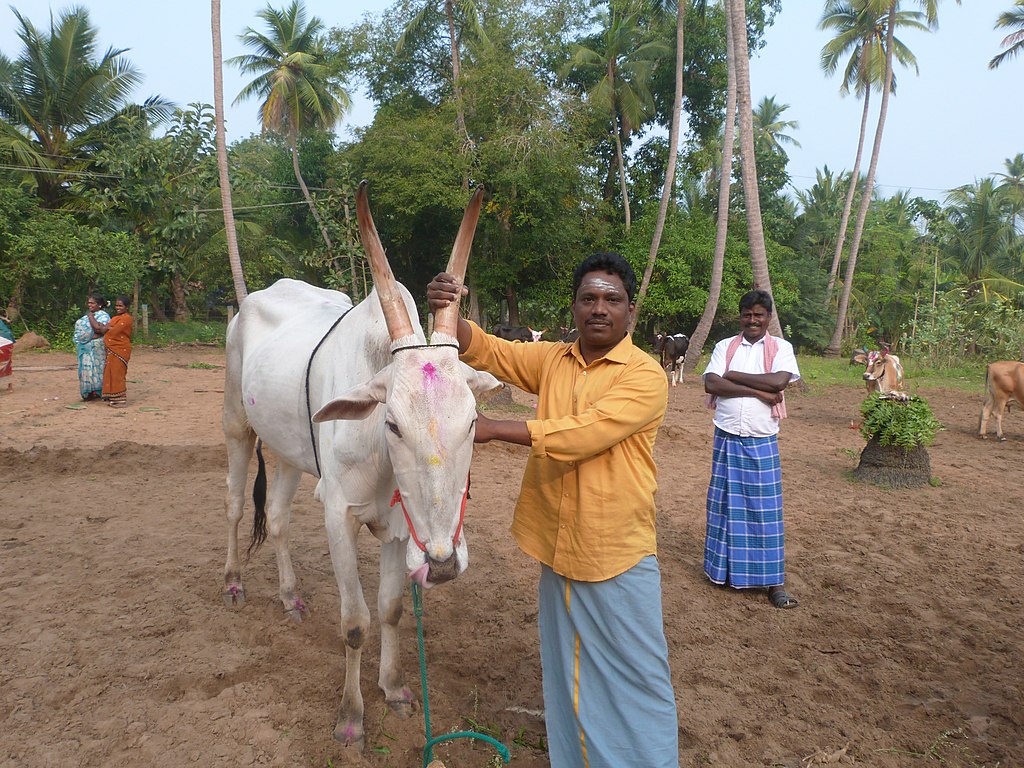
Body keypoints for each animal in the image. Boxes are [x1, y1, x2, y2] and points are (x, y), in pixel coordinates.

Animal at [221, 183, 499, 749]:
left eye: (472, 422)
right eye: (391, 423)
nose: (442, 564)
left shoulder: (400, 527)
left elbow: (390, 610)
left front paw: (392, 689)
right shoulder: (338, 515)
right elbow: (355, 622)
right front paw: (350, 715)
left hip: (288, 451)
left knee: (277, 517)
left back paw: (290, 596)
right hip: (238, 426)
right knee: (237, 504)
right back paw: (235, 581)